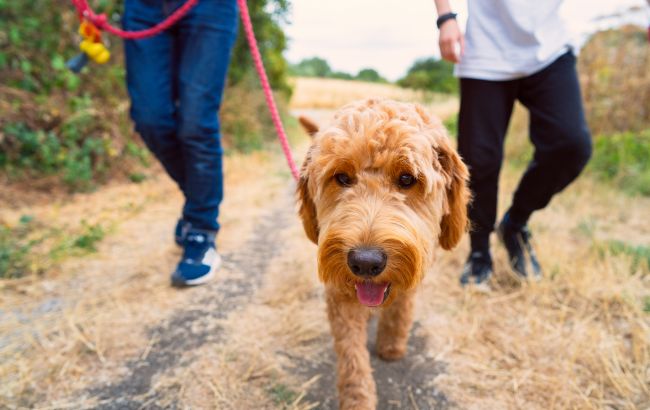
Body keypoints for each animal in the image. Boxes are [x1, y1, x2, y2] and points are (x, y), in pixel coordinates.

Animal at [296, 99, 468, 410]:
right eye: (342, 177)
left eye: (407, 178)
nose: (365, 262)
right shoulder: (339, 296)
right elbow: (351, 352)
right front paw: (357, 399)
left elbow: (400, 309)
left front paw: (391, 346)